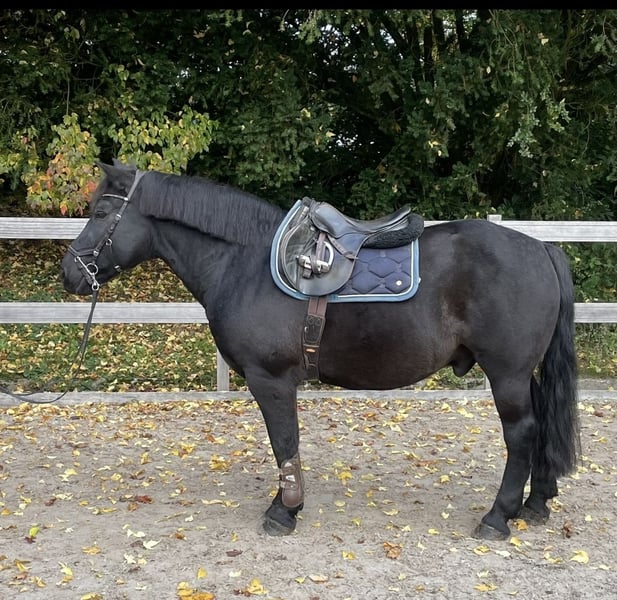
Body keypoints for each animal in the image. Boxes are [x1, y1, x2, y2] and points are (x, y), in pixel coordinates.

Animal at [61, 160, 580, 540]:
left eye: (101, 214)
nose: (70, 273)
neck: (245, 263)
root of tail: (541, 249)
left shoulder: (271, 380)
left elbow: (284, 443)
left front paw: (284, 511)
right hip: (523, 373)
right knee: (541, 424)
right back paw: (536, 503)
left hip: (507, 373)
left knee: (521, 433)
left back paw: (498, 516)